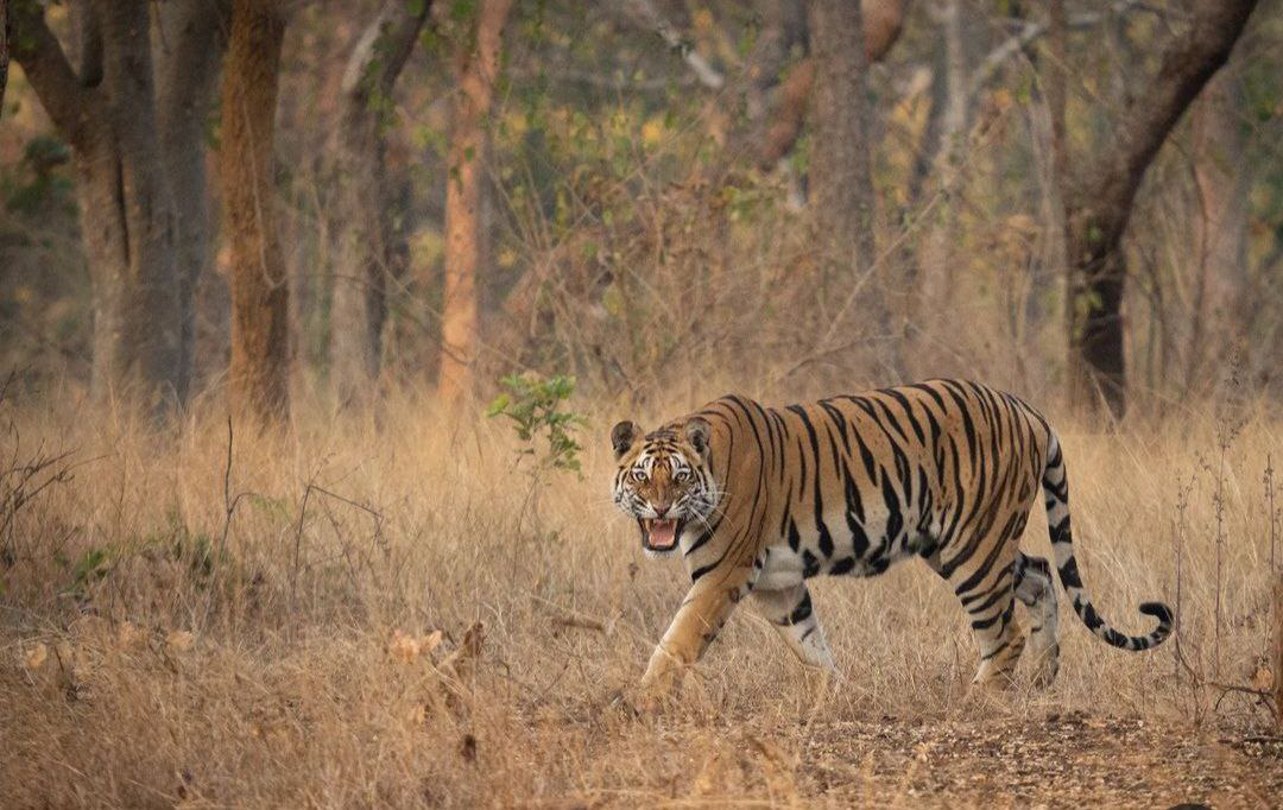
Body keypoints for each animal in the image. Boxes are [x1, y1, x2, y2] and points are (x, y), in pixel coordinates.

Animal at [608, 379, 1175, 703]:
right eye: (642, 477)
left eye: (679, 478)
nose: (660, 509)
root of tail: (1029, 411)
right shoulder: (778, 585)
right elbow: (809, 645)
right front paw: (840, 693)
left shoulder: (722, 575)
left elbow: (676, 642)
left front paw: (638, 703)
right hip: (964, 545)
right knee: (1039, 574)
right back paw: (1042, 677)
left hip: (974, 546)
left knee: (1004, 630)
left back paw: (979, 702)